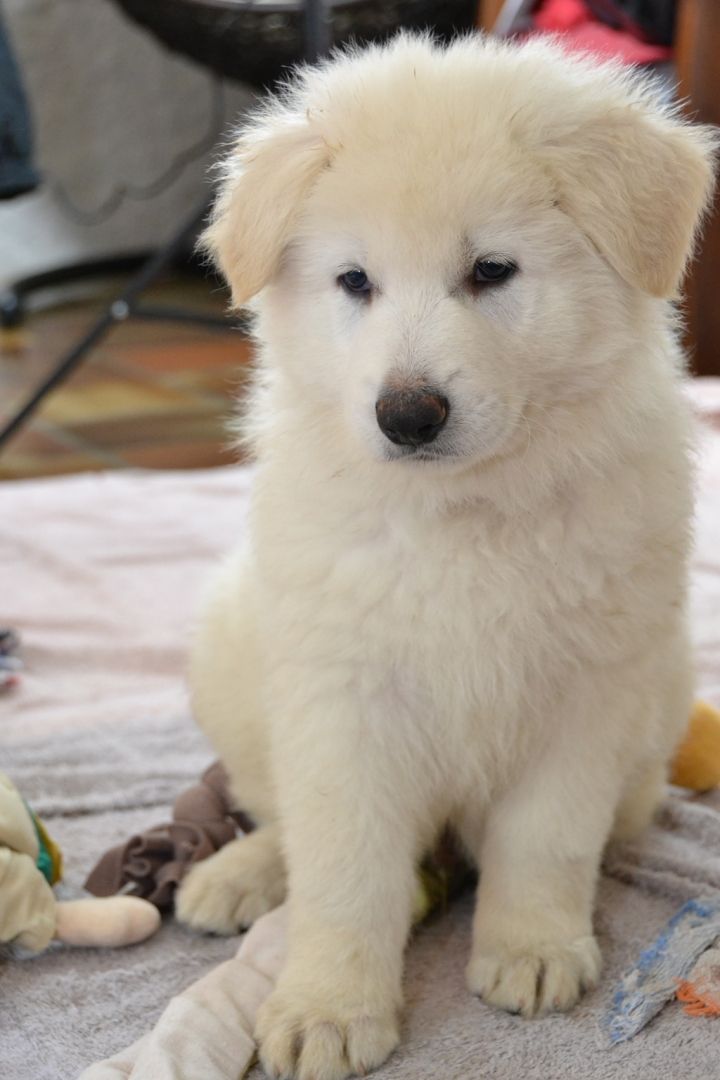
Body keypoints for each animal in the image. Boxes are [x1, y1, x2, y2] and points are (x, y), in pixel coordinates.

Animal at [175, 33, 716, 1080]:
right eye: (355, 282)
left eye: (492, 271)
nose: (408, 414)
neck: (462, 511)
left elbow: (545, 841)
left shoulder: (586, 693)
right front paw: (327, 1008)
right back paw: (238, 874)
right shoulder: (342, 700)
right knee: (275, 813)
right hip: (230, 647)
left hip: (661, 687)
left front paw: (532, 950)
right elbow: (343, 873)